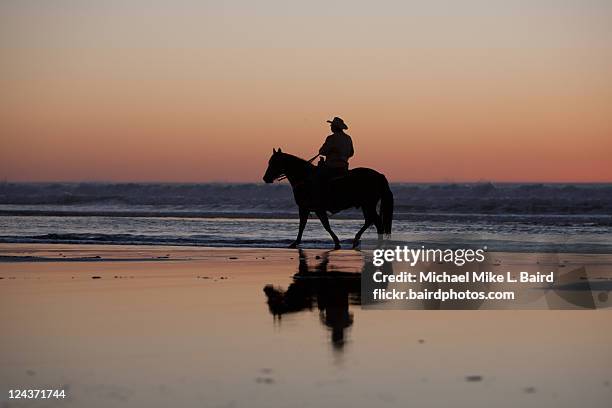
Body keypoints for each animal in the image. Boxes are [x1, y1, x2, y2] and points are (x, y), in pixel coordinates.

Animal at [262, 147, 392, 249]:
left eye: (274, 163)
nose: (265, 178)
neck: (305, 178)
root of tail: (379, 175)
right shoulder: (310, 209)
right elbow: (310, 225)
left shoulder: (309, 208)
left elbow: (317, 225)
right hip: (365, 205)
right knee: (370, 221)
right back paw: (358, 241)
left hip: (368, 205)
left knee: (376, 222)